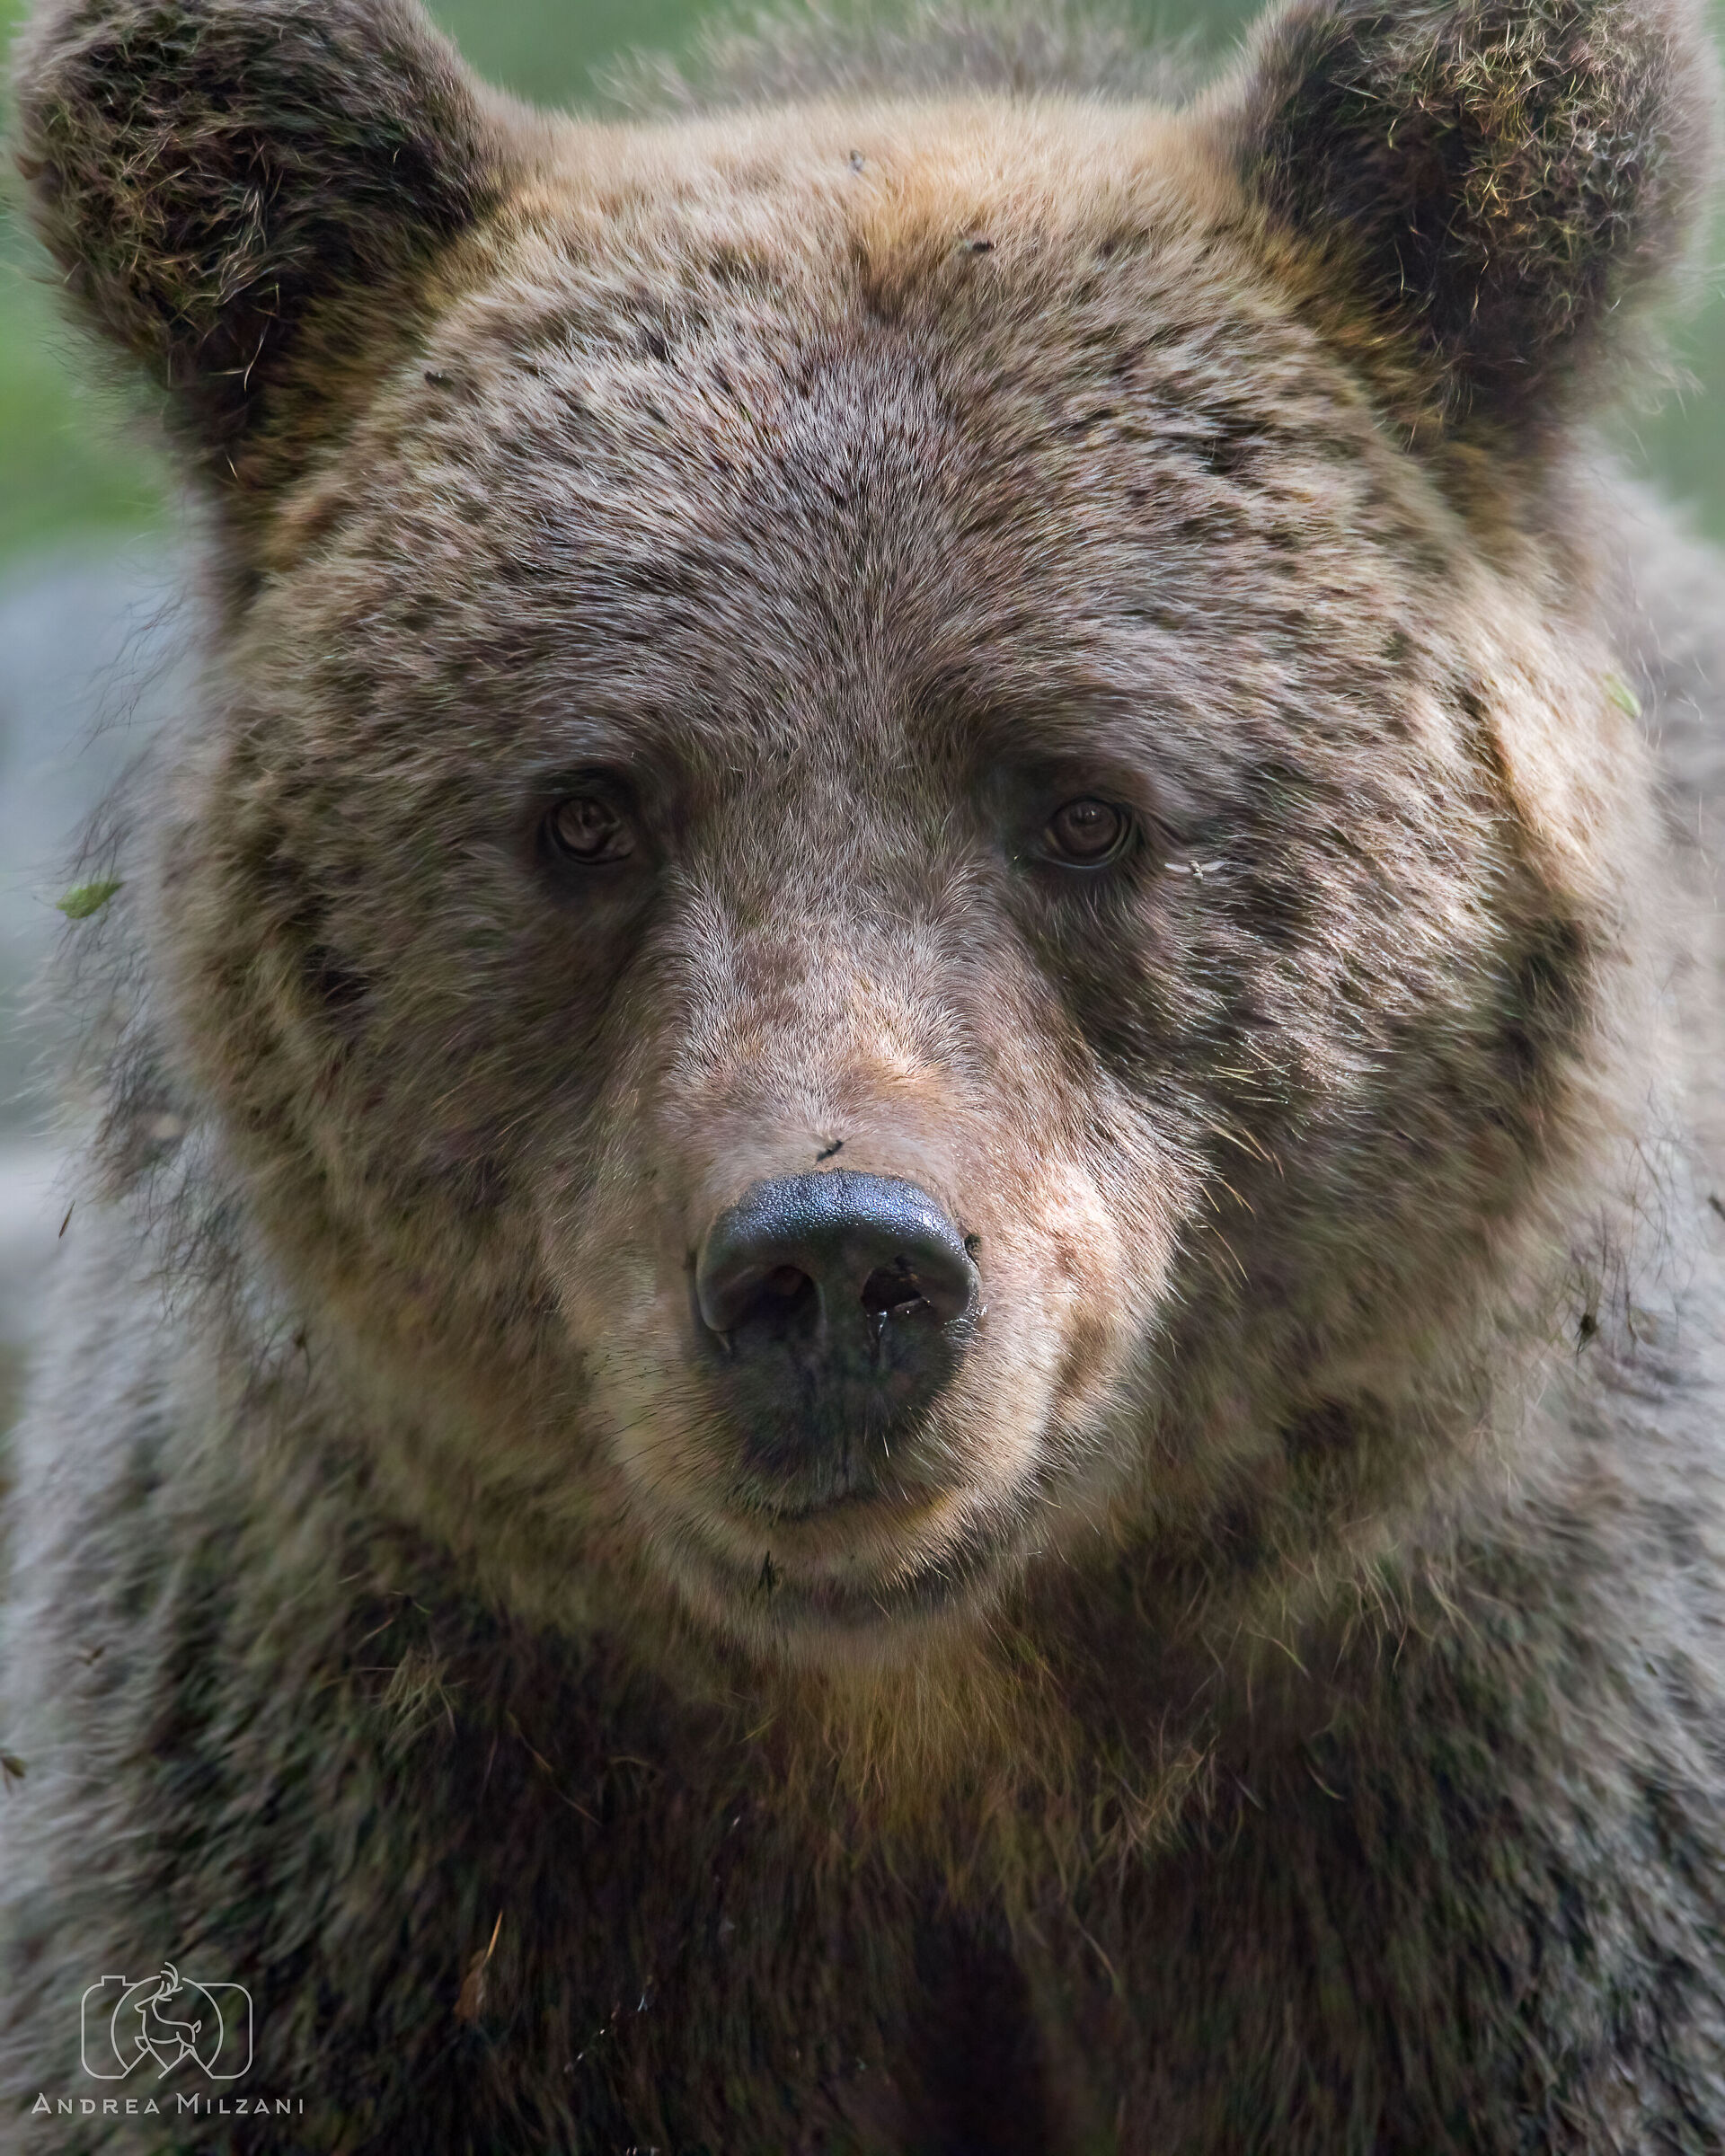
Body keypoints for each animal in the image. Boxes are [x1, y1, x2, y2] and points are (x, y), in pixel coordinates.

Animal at [3, 0, 1724, 2147]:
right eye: (589, 813)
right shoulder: (381, 1845)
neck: (942, 1721)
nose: (836, 1264)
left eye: (1080, 806)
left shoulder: (1508, 1843)